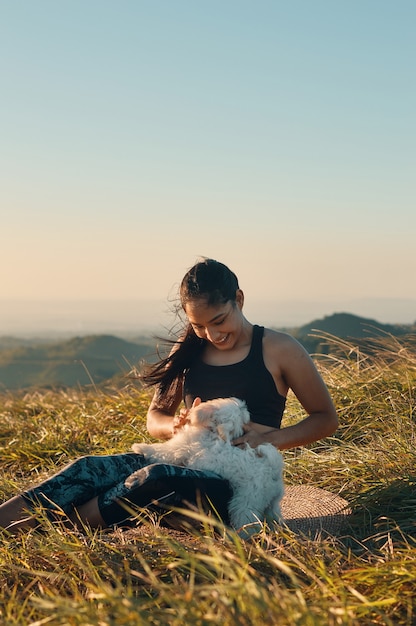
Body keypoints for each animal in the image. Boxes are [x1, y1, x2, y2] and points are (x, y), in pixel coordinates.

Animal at [132, 394, 284, 532]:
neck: (212, 430)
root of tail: (273, 471)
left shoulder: (179, 448)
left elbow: (161, 450)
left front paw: (140, 447)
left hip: (246, 502)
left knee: (246, 522)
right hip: (272, 504)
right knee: (273, 517)